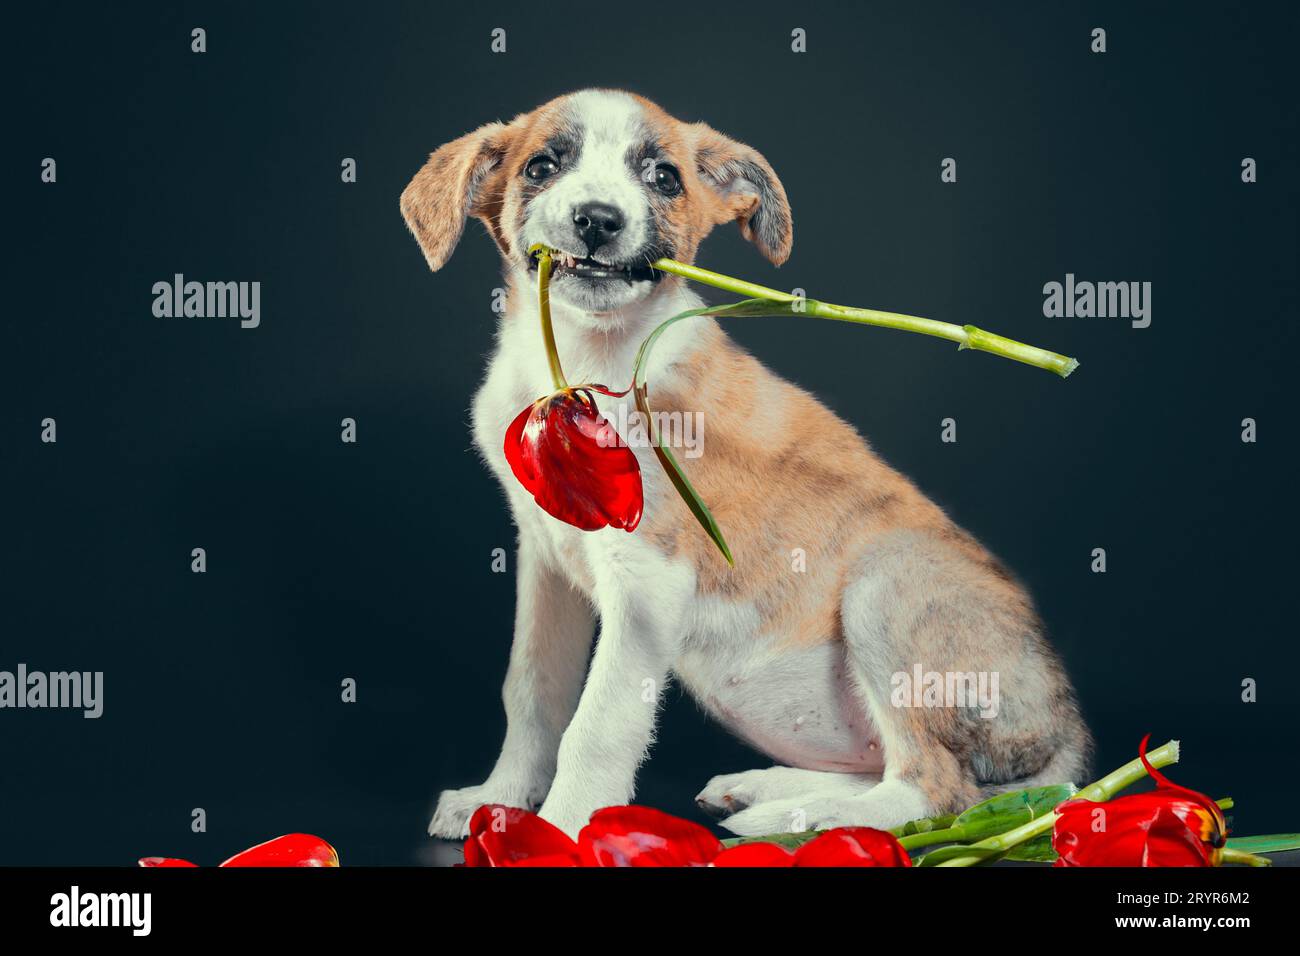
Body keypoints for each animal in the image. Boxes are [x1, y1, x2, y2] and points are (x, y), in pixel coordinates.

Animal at [397, 89, 1086, 837]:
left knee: (933, 788)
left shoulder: (647, 577)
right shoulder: (546, 562)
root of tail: (1071, 733)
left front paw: (562, 827)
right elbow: (532, 689)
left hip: (886, 580)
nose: (598, 220)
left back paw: (801, 819)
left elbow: (597, 725)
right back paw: (765, 790)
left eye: (664, 178)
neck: (579, 359)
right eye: (542, 166)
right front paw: (499, 798)